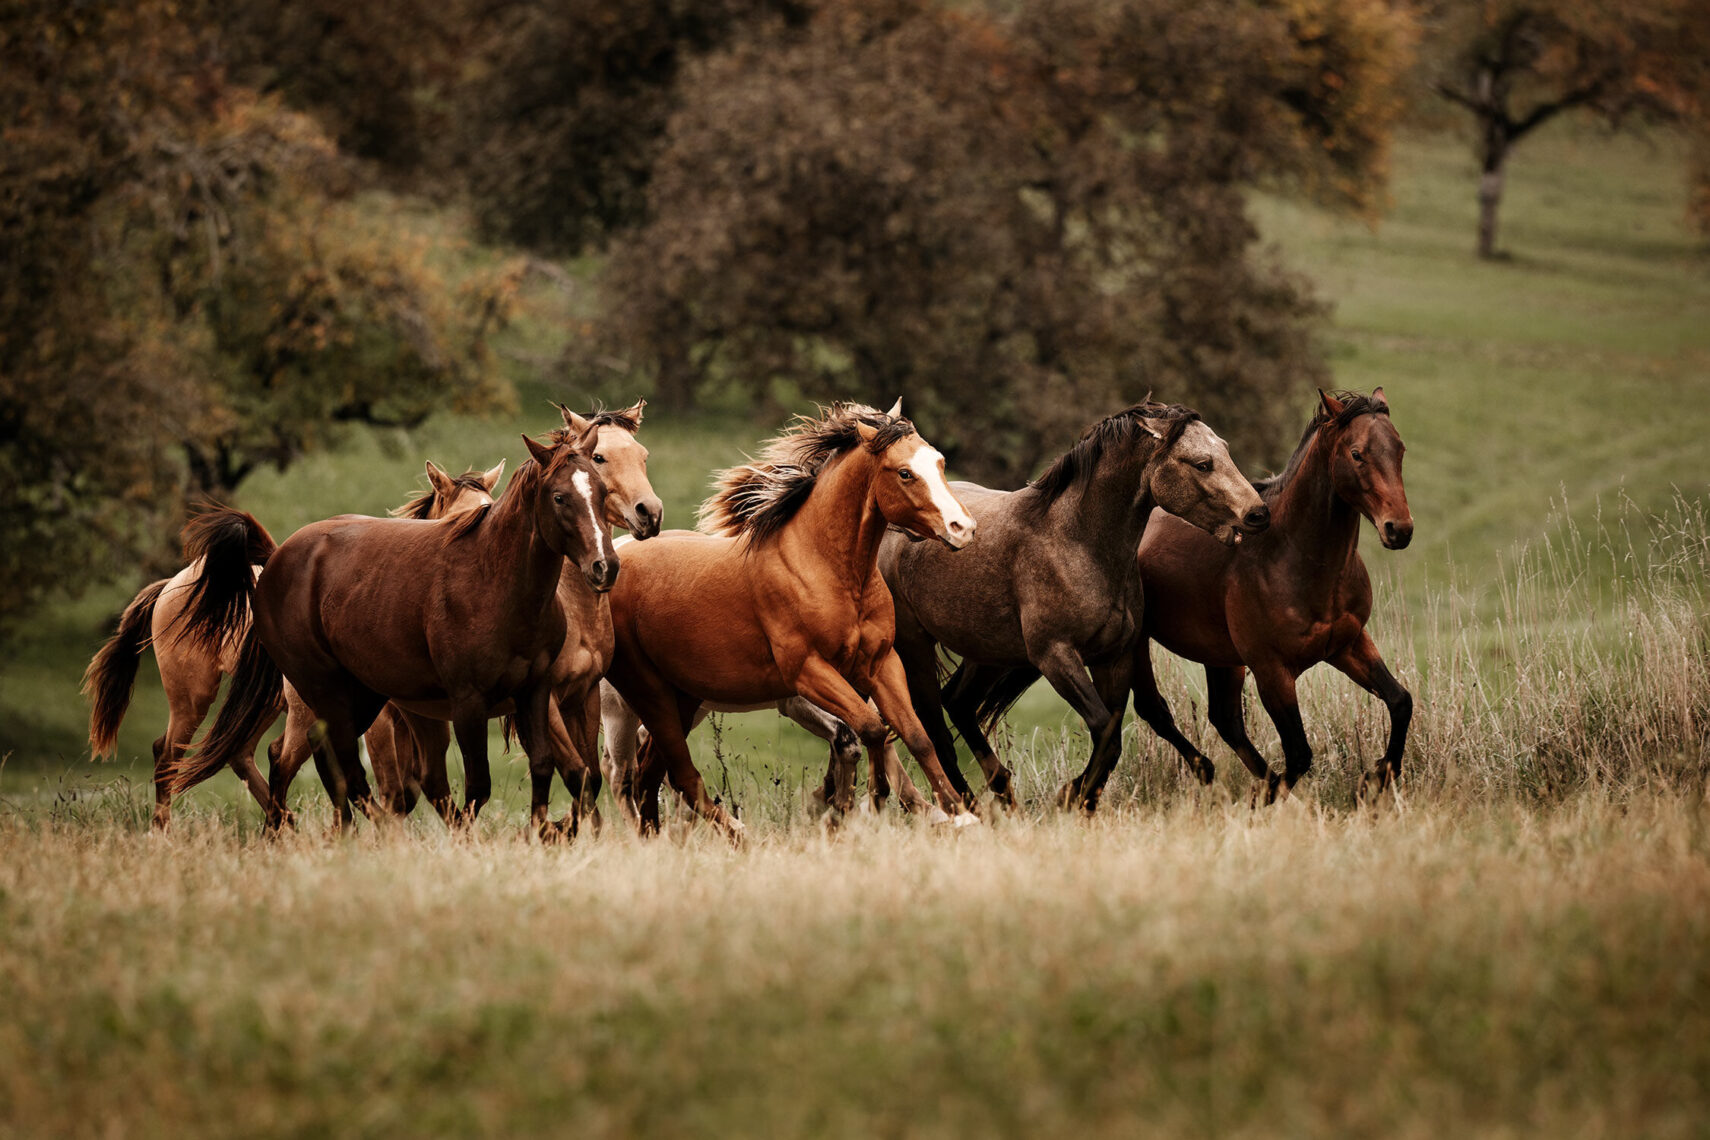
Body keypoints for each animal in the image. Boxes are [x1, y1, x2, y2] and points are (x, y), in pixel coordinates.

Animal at [81, 461, 503, 829]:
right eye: (458, 518)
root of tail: (172, 582)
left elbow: (407, 788)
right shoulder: (380, 725)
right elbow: (391, 788)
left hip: (268, 704)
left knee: (243, 753)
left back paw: (284, 823)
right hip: (194, 697)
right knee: (168, 753)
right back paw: (165, 830)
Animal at [166, 425, 618, 833]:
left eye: (601, 492)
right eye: (559, 497)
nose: (605, 566)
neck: (495, 584)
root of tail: (277, 556)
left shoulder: (534, 691)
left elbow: (546, 767)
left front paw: (547, 832)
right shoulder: (468, 703)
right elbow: (477, 786)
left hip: (363, 694)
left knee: (329, 756)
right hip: (326, 688)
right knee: (338, 764)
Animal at [602, 400, 978, 840]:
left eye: (940, 461)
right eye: (904, 473)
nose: (963, 528)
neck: (823, 567)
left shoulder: (881, 665)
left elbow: (915, 736)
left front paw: (958, 813)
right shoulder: (809, 673)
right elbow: (871, 729)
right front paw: (867, 803)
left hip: (684, 698)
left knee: (653, 773)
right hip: (644, 695)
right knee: (658, 774)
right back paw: (735, 835)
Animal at [879, 402, 1272, 815]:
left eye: (1224, 449)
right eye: (1201, 463)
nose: (1258, 514)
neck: (1076, 543)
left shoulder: (1113, 658)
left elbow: (1111, 734)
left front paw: (1081, 799)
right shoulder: (1056, 657)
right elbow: (1105, 731)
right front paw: (1071, 796)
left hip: (987, 651)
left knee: (958, 702)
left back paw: (1004, 793)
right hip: (916, 647)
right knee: (935, 729)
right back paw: (969, 807)